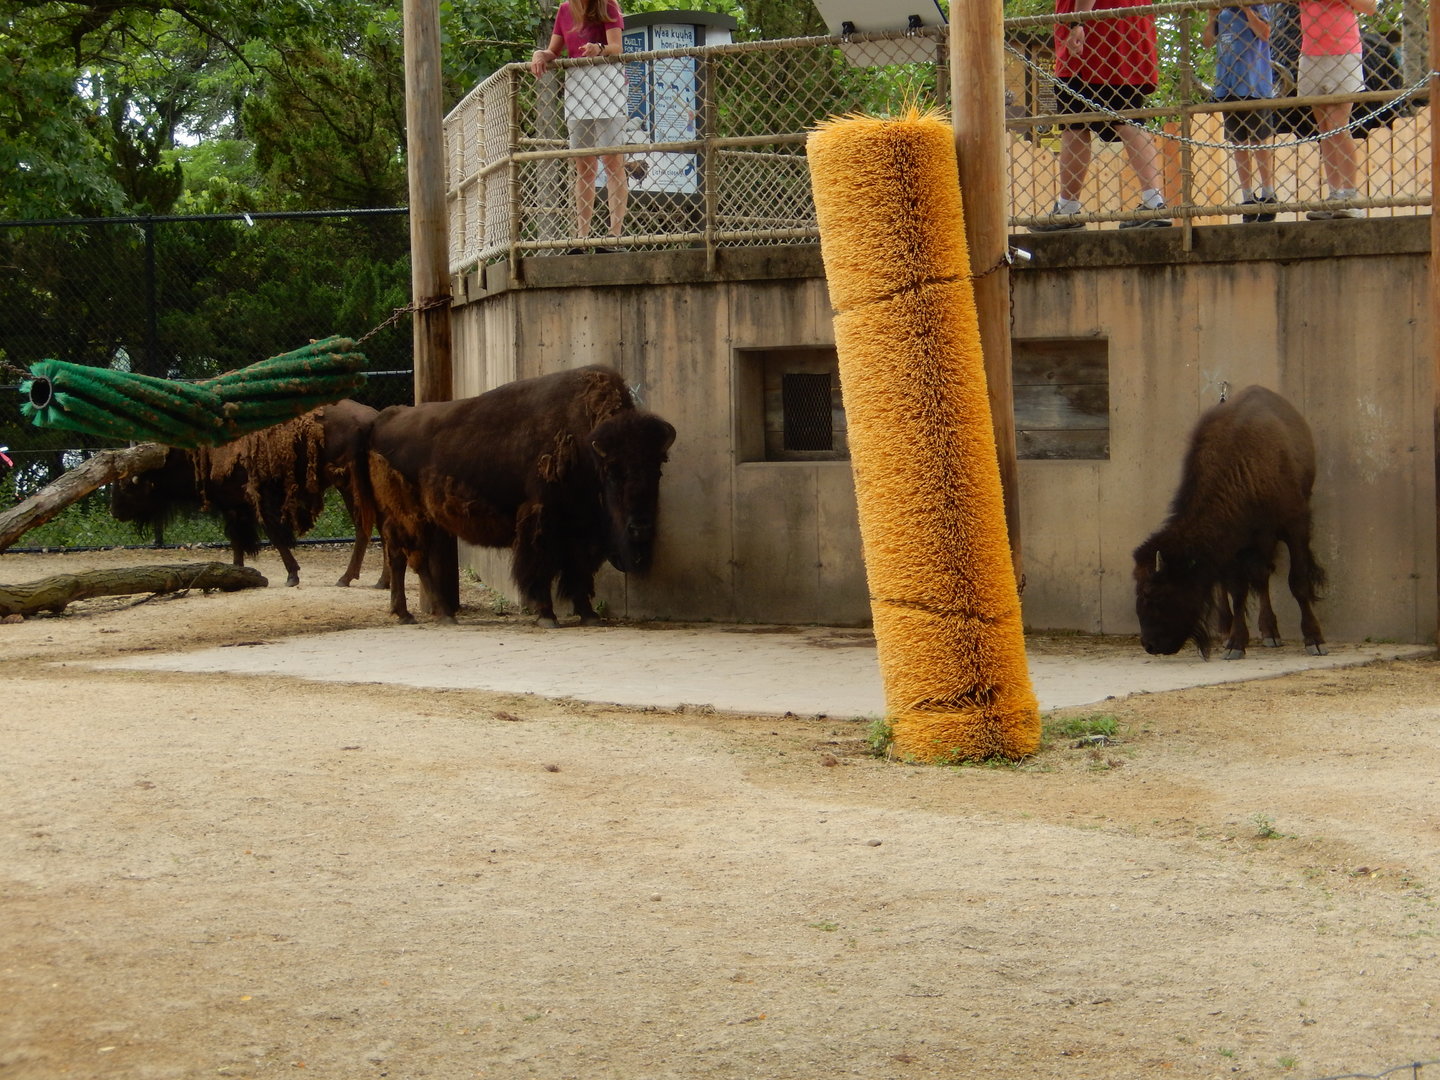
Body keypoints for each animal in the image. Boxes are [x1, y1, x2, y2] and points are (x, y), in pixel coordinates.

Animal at [363, 365, 676, 627]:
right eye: (613, 473)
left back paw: (407, 614)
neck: (586, 447)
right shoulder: (542, 519)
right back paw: (443, 615)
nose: (640, 528)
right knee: (414, 558)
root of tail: (385, 418)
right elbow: (540, 567)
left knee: (399, 557)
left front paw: (589, 615)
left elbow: (578, 569)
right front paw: (547, 616)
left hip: (410, 518)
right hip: (409, 516)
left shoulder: (577, 528)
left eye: (657, 471)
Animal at [1132, 385, 1327, 659]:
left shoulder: (1294, 526)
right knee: (1250, 580)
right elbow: (1238, 591)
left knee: (1262, 576)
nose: (1150, 645)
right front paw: (1236, 643)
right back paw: (1245, 630)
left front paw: (1315, 641)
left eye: (1153, 593)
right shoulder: (1236, 544)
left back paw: (1270, 633)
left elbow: (1297, 582)